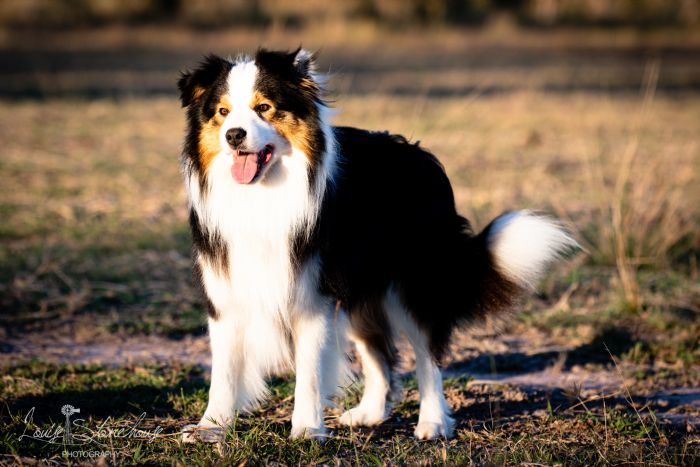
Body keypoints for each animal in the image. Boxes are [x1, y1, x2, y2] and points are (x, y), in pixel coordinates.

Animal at [175, 48, 576, 442]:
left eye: (264, 107)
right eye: (222, 112)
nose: (233, 135)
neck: (261, 195)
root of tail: (418, 154)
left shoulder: (312, 295)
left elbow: (309, 371)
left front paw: (307, 430)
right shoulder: (225, 289)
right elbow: (224, 370)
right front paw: (212, 426)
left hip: (415, 283)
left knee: (428, 355)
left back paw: (432, 423)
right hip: (359, 290)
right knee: (379, 353)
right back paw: (369, 413)